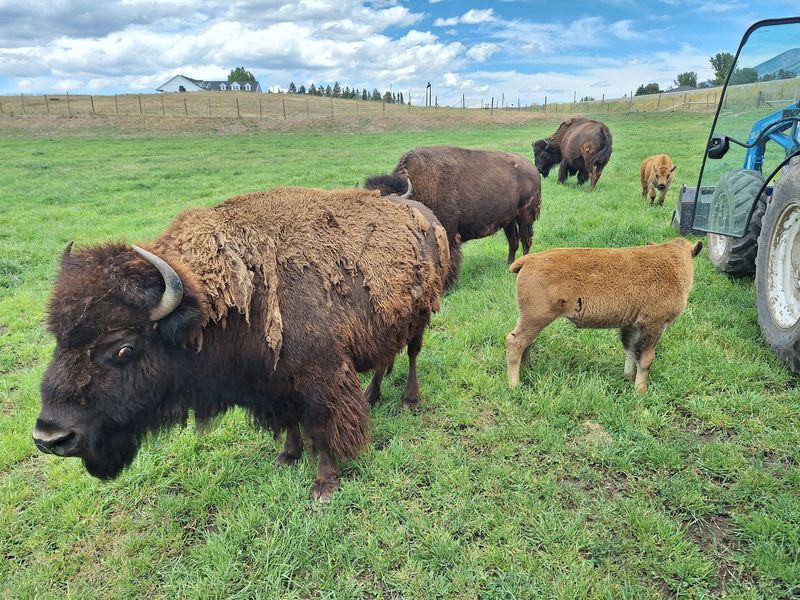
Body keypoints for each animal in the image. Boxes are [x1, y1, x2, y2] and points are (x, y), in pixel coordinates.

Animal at [33, 186, 449, 501]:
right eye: (58, 339)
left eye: (123, 348)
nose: (50, 437)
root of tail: (422, 214)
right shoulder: (275, 384)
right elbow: (290, 421)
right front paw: (286, 457)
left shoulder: (322, 378)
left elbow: (320, 427)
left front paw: (324, 485)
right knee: (383, 359)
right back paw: (372, 395)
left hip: (421, 316)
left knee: (412, 353)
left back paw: (409, 400)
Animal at [365, 145, 542, 287]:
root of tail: (532, 168)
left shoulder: (448, 234)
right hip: (509, 220)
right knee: (513, 242)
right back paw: (509, 266)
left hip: (525, 216)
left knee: (525, 240)